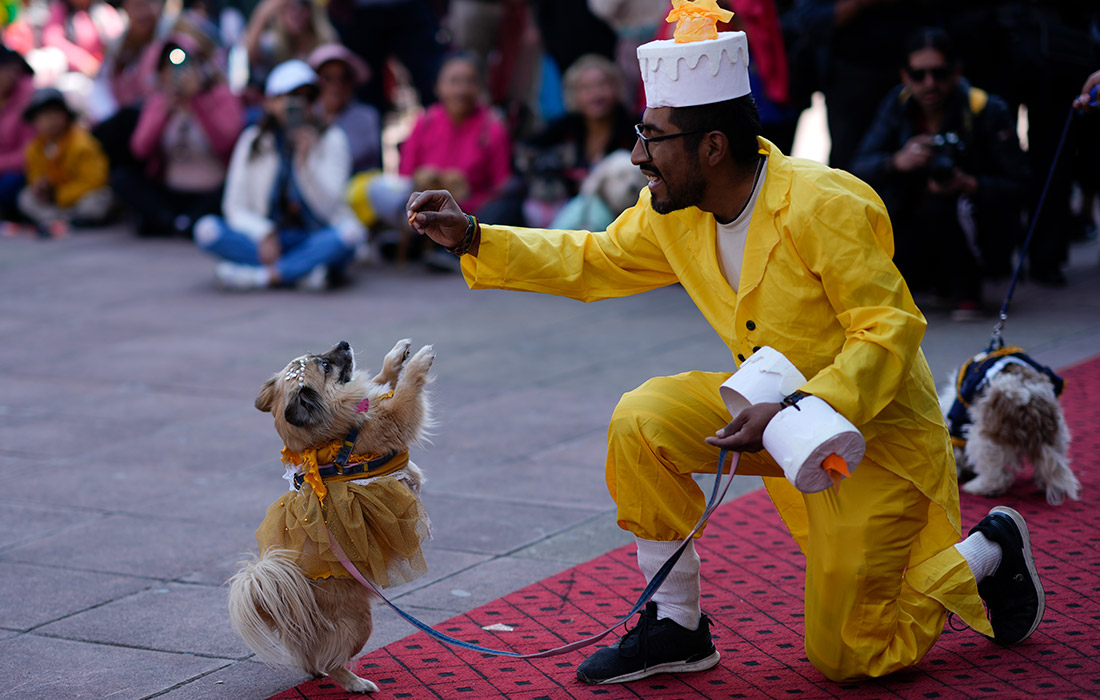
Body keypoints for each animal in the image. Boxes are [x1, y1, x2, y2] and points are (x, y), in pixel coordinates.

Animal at [227, 336, 433, 691]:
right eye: (325, 365)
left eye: (319, 355)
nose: (344, 342)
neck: (334, 436)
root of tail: (279, 600)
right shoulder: (394, 419)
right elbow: (406, 390)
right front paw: (419, 361)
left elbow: (384, 381)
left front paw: (398, 356)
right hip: (358, 623)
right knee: (333, 658)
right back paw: (355, 683)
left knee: (310, 659)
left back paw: (320, 673)